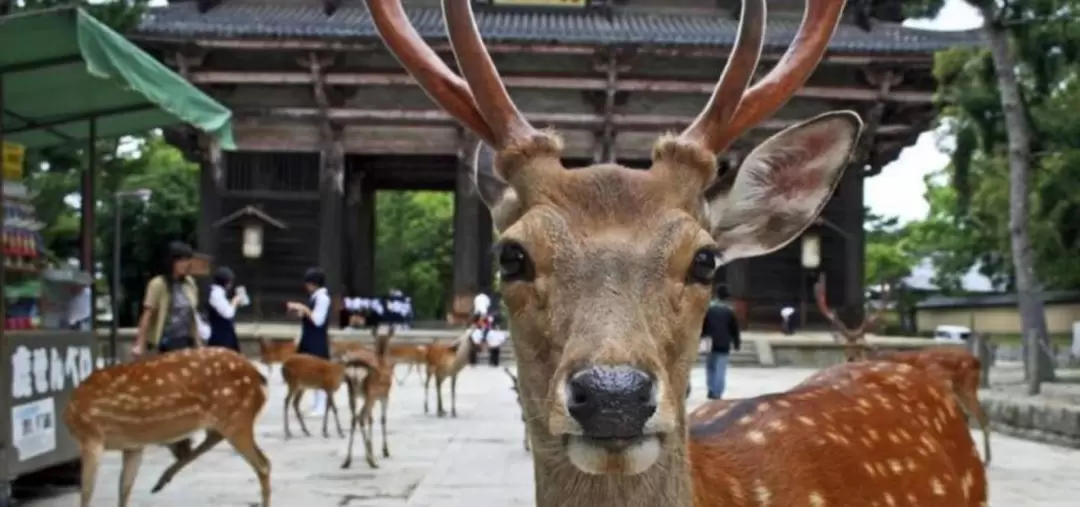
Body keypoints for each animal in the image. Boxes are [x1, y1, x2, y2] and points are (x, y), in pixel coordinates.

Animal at [64, 345, 270, 505]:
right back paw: (162, 479)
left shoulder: (91, 436)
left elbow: (87, 493)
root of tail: (258, 377)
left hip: (237, 417)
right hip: (229, 419)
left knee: (263, 464)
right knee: (215, 439)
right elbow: (124, 488)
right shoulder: (133, 445)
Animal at [341, 332, 397, 467]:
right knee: (362, 418)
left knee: (354, 418)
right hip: (369, 392)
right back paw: (371, 460)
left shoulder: (372, 397)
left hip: (351, 392)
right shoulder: (383, 395)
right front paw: (385, 451)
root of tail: (355, 366)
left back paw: (347, 460)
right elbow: (381, 419)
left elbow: (371, 419)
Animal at [812, 272, 989, 462]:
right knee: (973, 415)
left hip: (953, 386)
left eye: (861, 344)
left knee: (972, 416)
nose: (851, 358)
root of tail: (976, 361)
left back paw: (983, 459)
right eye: (845, 345)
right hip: (962, 388)